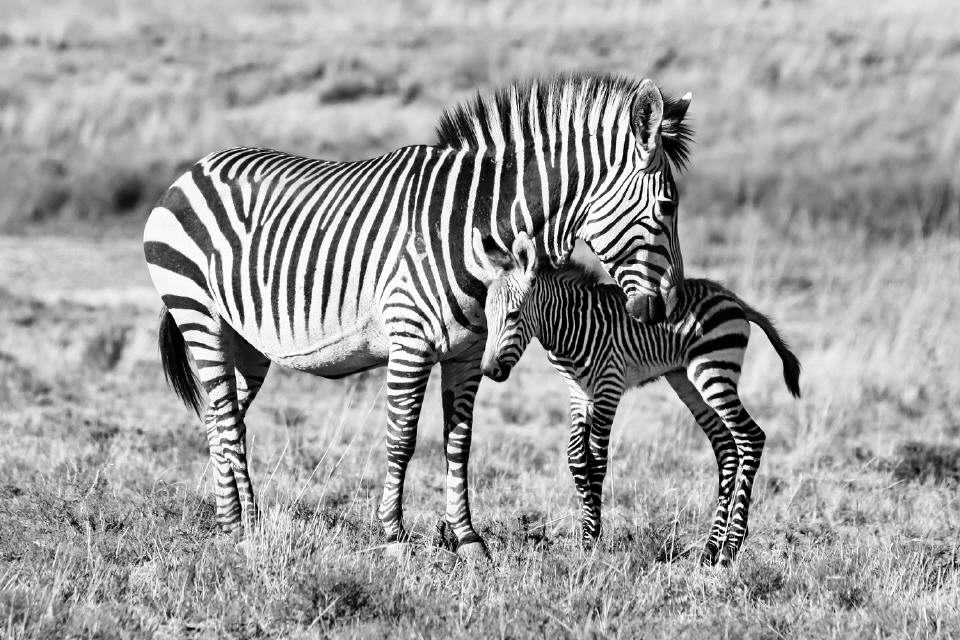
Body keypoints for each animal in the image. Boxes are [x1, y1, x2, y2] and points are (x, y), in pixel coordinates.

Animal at [143, 73, 693, 559]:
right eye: (668, 205)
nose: (667, 309)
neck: (475, 225)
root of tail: (193, 169)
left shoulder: (470, 354)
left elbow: (459, 443)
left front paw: (467, 539)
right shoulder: (409, 340)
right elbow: (402, 438)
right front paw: (393, 535)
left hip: (246, 340)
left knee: (223, 416)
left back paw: (238, 522)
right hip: (198, 312)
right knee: (224, 416)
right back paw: (239, 527)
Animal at [476, 232, 801, 566]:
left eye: (513, 315)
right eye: (487, 315)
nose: (489, 370)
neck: (569, 326)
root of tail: (734, 299)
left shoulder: (608, 386)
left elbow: (597, 459)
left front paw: (593, 539)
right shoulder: (579, 394)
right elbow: (576, 458)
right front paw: (586, 535)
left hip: (713, 371)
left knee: (751, 436)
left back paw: (730, 547)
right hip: (686, 380)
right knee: (725, 445)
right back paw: (711, 548)